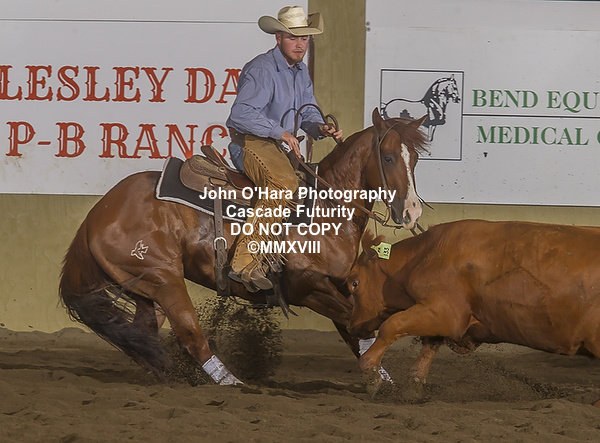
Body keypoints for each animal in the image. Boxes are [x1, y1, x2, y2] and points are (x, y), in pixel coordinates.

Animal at [59, 109, 429, 384]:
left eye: (415, 159)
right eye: (389, 157)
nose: (412, 210)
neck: (325, 209)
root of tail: (98, 212)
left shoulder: (340, 284)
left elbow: (358, 328)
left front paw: (383, 379)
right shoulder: (308, 288)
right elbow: (358, 321)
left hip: (144, 287)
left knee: (144, 333)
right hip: (163, 279)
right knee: (190, 333)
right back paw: (230, 382)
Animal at [347, 219, 600, 404]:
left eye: (354, 283)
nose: (351, 326)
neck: (426, 255)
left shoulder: (445, 312)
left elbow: (392, 325)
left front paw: (371, 374)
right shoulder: (440, 316)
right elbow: (429, 345)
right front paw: (413, 387)